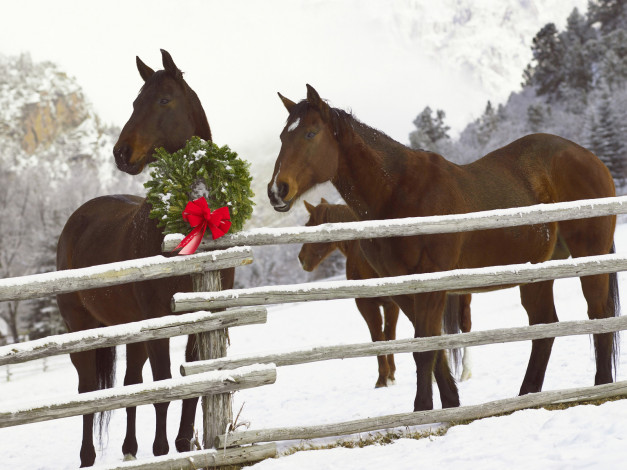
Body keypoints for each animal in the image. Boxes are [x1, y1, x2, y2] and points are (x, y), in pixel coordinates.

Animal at [55, 49, 233, 468]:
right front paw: (163, 450)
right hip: (81, 328)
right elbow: (163, 387)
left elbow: (189, 383)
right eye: (136, 103)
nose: (121, 154)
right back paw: (88, 456)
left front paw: (182, 444)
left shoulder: (200, 320)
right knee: (89, 390)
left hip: (132, 330)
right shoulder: (159, 322)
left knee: (130, 384)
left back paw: (130, 449)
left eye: (164, 100)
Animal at [298, 198, 472, 386]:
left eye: (308, 226)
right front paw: (391, 375)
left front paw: (382, 379)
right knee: (463, 325)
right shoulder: (392, 305)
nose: (301, 258)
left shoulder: (366, 304)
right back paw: (461, 372)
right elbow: (389, 336)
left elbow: (378, 337)